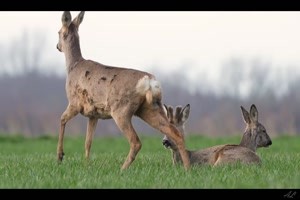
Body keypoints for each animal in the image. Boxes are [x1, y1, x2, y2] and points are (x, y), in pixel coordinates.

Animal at [55, 10, 190, 170]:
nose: (57, 46)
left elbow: (62, 119)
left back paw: (122, 169)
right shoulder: (93, 114)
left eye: (58, 32)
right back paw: (188, 168)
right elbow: (88, 142)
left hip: (121, 110)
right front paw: (86, 165)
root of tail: (149, 82)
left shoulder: (74, 102)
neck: (73, 66)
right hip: (151, 108)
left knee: (135, 141)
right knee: (176, 133)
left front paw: (60, 156)